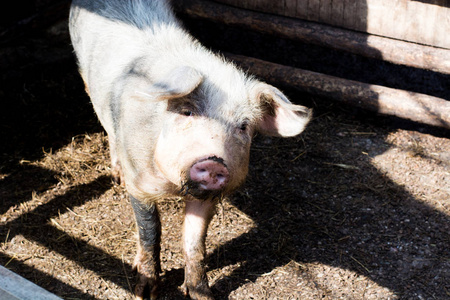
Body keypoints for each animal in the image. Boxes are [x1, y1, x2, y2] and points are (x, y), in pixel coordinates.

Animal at [68, 0, 312, 298]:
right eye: (187, 112)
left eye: (243, 126)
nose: (214, 161)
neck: (174, 186)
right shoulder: (139, 185)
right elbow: (150, 232)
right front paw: (144, 291)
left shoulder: (206, 198)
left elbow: (195, 242)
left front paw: (200, 293)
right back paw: (117, 177)